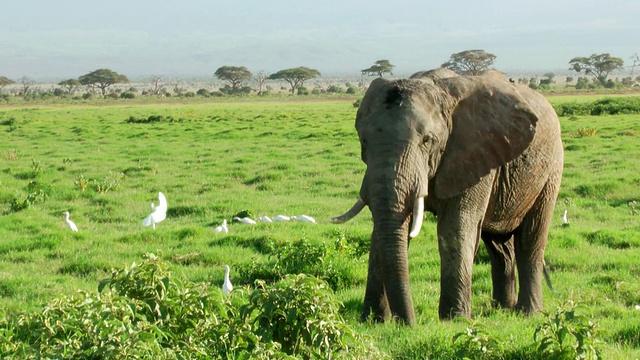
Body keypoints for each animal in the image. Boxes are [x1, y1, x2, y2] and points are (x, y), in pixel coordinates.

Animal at [332, 68, 564, 326]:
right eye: (363, 141)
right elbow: (385, 230)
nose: (409, 324)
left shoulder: (474, 151)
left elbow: (454, 227)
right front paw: (373, 320)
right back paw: (501, 309)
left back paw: (527, 313)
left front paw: (455, 321)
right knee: (499, 246)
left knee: (530, 238)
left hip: (551, 170)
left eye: (427, 140)